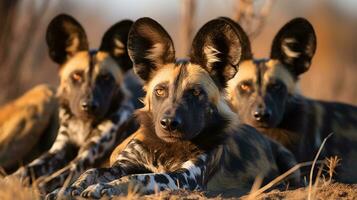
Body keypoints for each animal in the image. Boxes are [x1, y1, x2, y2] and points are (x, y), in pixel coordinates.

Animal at [10, 14, 136, 192]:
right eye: (76, 76)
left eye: (105, 78)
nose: (89, 106)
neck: (83, 126)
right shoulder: (57, 150)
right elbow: (27, 168)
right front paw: (9, 181)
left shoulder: (85, 157)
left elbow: (57, 176)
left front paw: (38, 187)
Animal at [46, 16, 298, 198]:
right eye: (160, 91)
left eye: (195, 93)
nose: (168, 123)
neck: (166, 148)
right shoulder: (123, 165)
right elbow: (90, 172)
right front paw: (69, 188)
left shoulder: (183, 177)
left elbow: (142, 178)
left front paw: (108, 188)